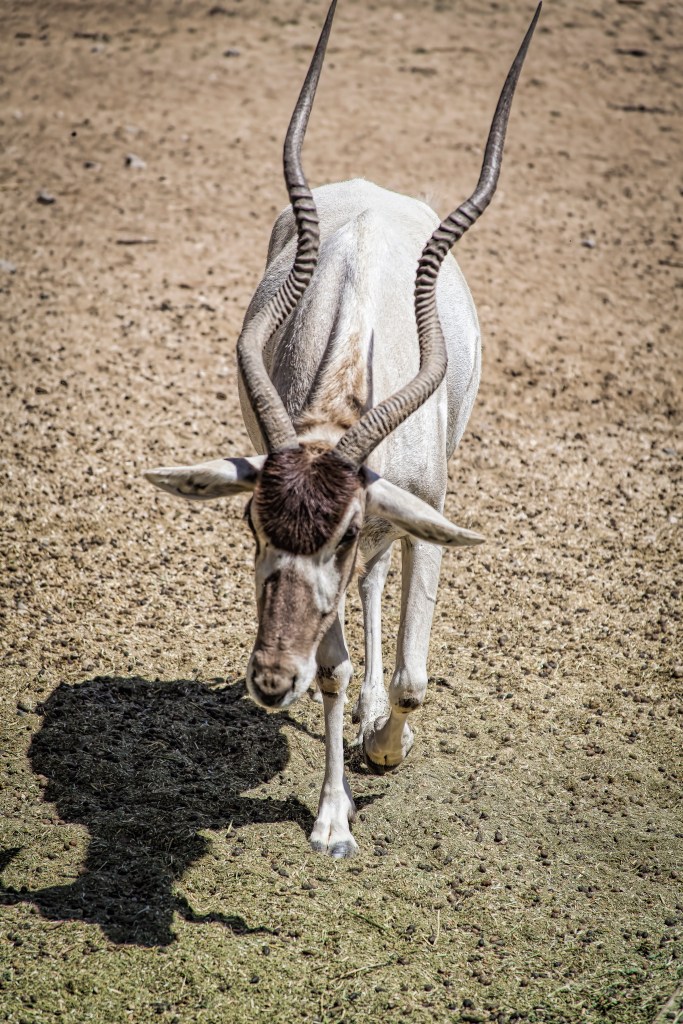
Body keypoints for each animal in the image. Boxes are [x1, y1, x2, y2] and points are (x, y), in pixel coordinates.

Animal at [145, 0, 540, 857]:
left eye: (341, 531)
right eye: (251, 523)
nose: (268, 680)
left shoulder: (418, 515)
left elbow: (414, 678)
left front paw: (385, 746)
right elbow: (329, 670)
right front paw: (331, 819)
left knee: (380, 585)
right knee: (365, 596)